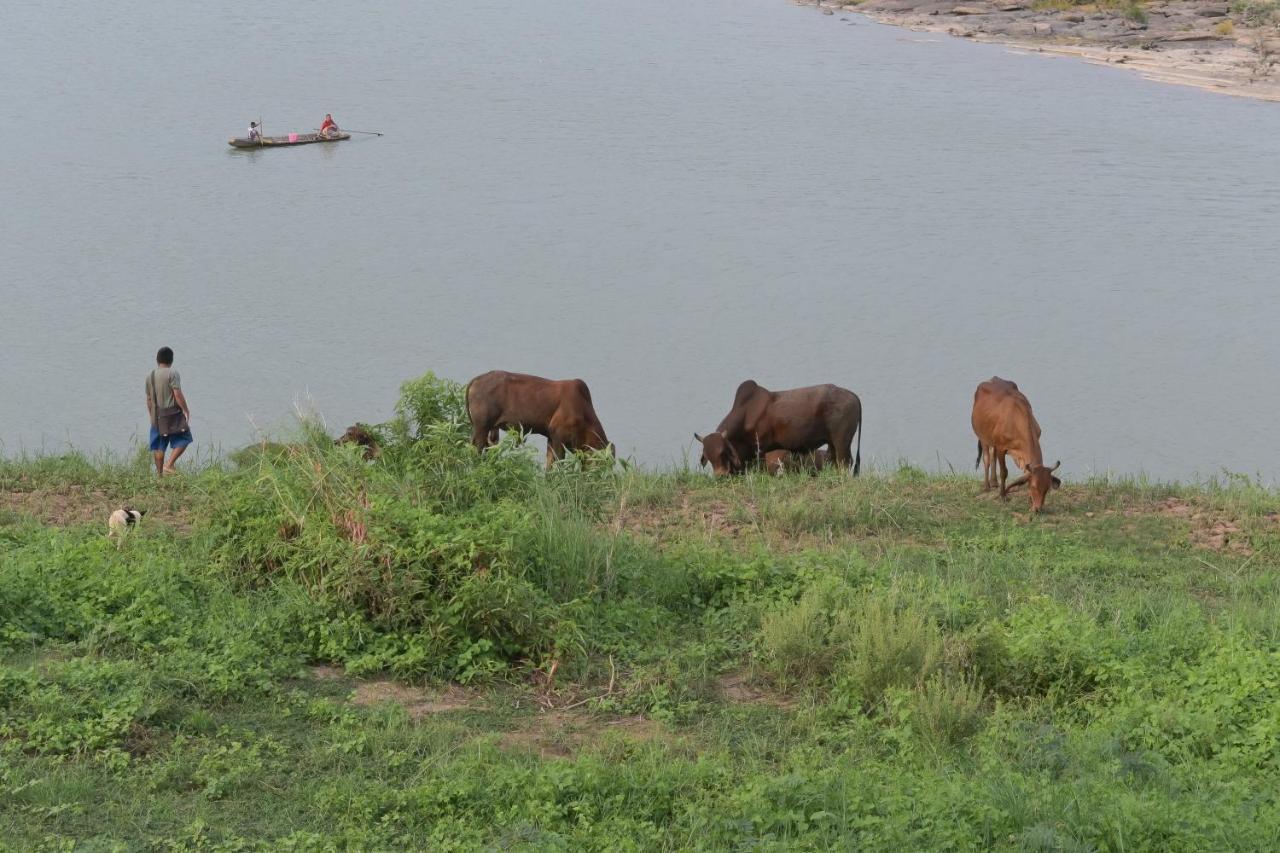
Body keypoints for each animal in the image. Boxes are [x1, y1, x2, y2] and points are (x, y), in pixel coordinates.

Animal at [468, 368, 611, 466]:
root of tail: (477, 379)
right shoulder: (558, 436)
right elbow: (559, 462)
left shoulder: (551, 437)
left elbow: (549, 465)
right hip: (482, 428)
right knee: (477, 450)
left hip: (488, 430)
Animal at [696, 379, 865, 473]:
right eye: (708, 456)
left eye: (722, 452)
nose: (720, 475)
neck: (745, 414)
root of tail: (853, 395)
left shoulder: (760, 450)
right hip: (831, 442)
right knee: (832, 459)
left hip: (842, 440)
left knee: (845, 462)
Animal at [967, 376, 1059, 507]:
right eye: (1033, 486)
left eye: (1046, 489)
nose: (1038, 508)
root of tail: (992, 378)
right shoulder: (1001, 448)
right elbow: (1004, 472)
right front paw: (1003, 495)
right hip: (983, 437)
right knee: (986, 459)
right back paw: (987, 486)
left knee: (992, 456)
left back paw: (994, 482)